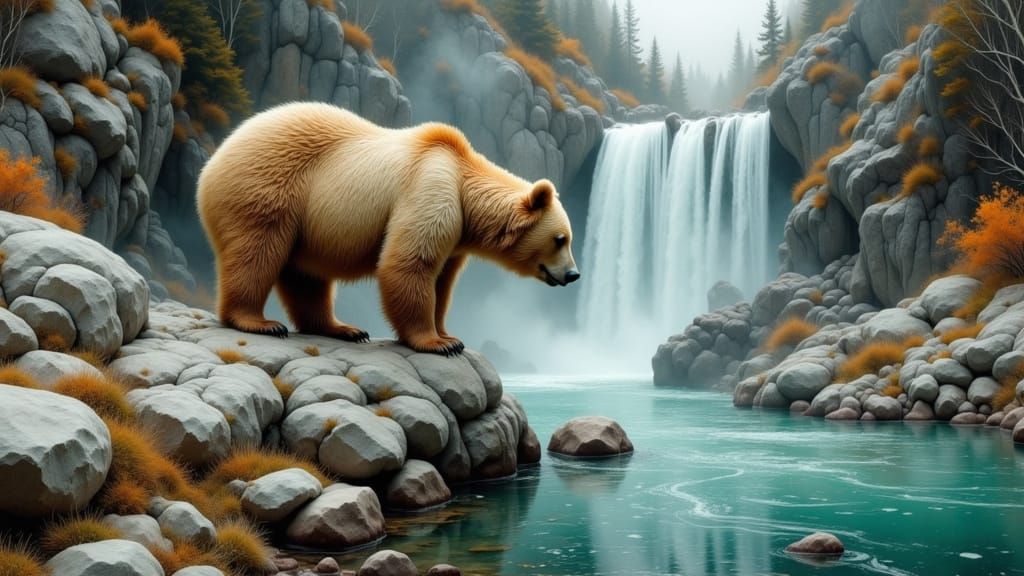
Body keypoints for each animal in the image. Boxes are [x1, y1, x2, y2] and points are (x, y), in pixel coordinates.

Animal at [197, 102, 580, 356]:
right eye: (560, 239)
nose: (574, 274)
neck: (463, 178)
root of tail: (211, 165)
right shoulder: (431, 188)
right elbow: (409, 263)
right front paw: (437, 343)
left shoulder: (457, 234)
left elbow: (442, 280)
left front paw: (449, 334)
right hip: (268, 188)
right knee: (257, 251)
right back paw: (258, 321)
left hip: (303, 221)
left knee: (306, 276)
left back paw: (343, 328)